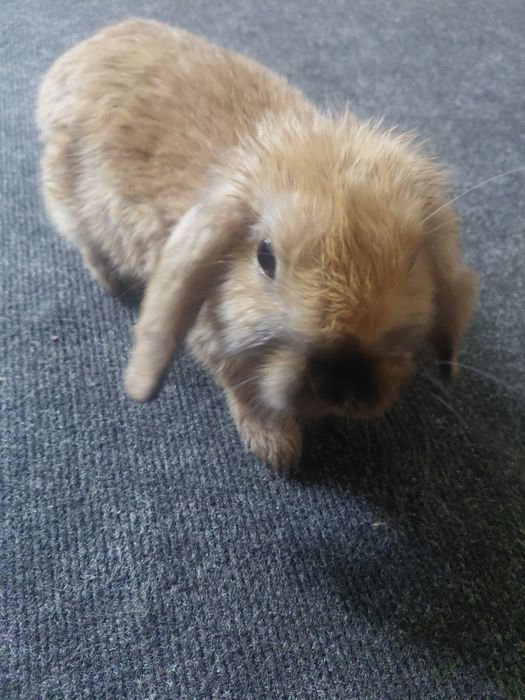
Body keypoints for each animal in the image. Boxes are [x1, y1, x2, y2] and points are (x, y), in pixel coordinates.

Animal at [37, 18, 478, 471]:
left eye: (411, 260)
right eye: (266, 257)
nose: (342, 383)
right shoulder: (215, 341)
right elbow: (245, 390)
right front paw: (276, 448)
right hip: (69, 203)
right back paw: (113, 283)